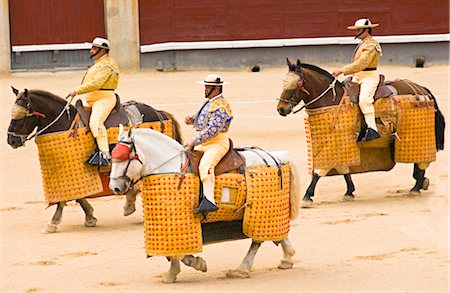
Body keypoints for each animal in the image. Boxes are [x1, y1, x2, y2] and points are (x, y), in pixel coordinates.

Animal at [7, 86, 183, 233]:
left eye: (21, 116)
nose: (11, 141)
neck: (64, 123)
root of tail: (159, 112)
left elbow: (64, 199)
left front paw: (52, 223)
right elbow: (78, 196)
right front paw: (90, 217)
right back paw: (130, 205)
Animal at [107, 125, 300, 282]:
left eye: (125, 158)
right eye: (112, 157)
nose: (115, 187)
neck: (170, 165)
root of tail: (275, 156)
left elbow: (182, 254)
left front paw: (196, 264)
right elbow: (172, 253)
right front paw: (172, 273)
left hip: (258, 213)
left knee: (256, 241)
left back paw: (241, 269)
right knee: (277, 234)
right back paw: (287, 259)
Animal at [276, 58, 444, 205]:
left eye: (297, 84)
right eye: (283, 83)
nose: (281, 109)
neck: (332, 99)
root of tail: (421, 88)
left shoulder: (335, 144)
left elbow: (320, 170)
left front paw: (307, 196)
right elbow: (343, 168)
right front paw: (349, 192)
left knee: (420, 160)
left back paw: (416, 188)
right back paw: (421, 183)